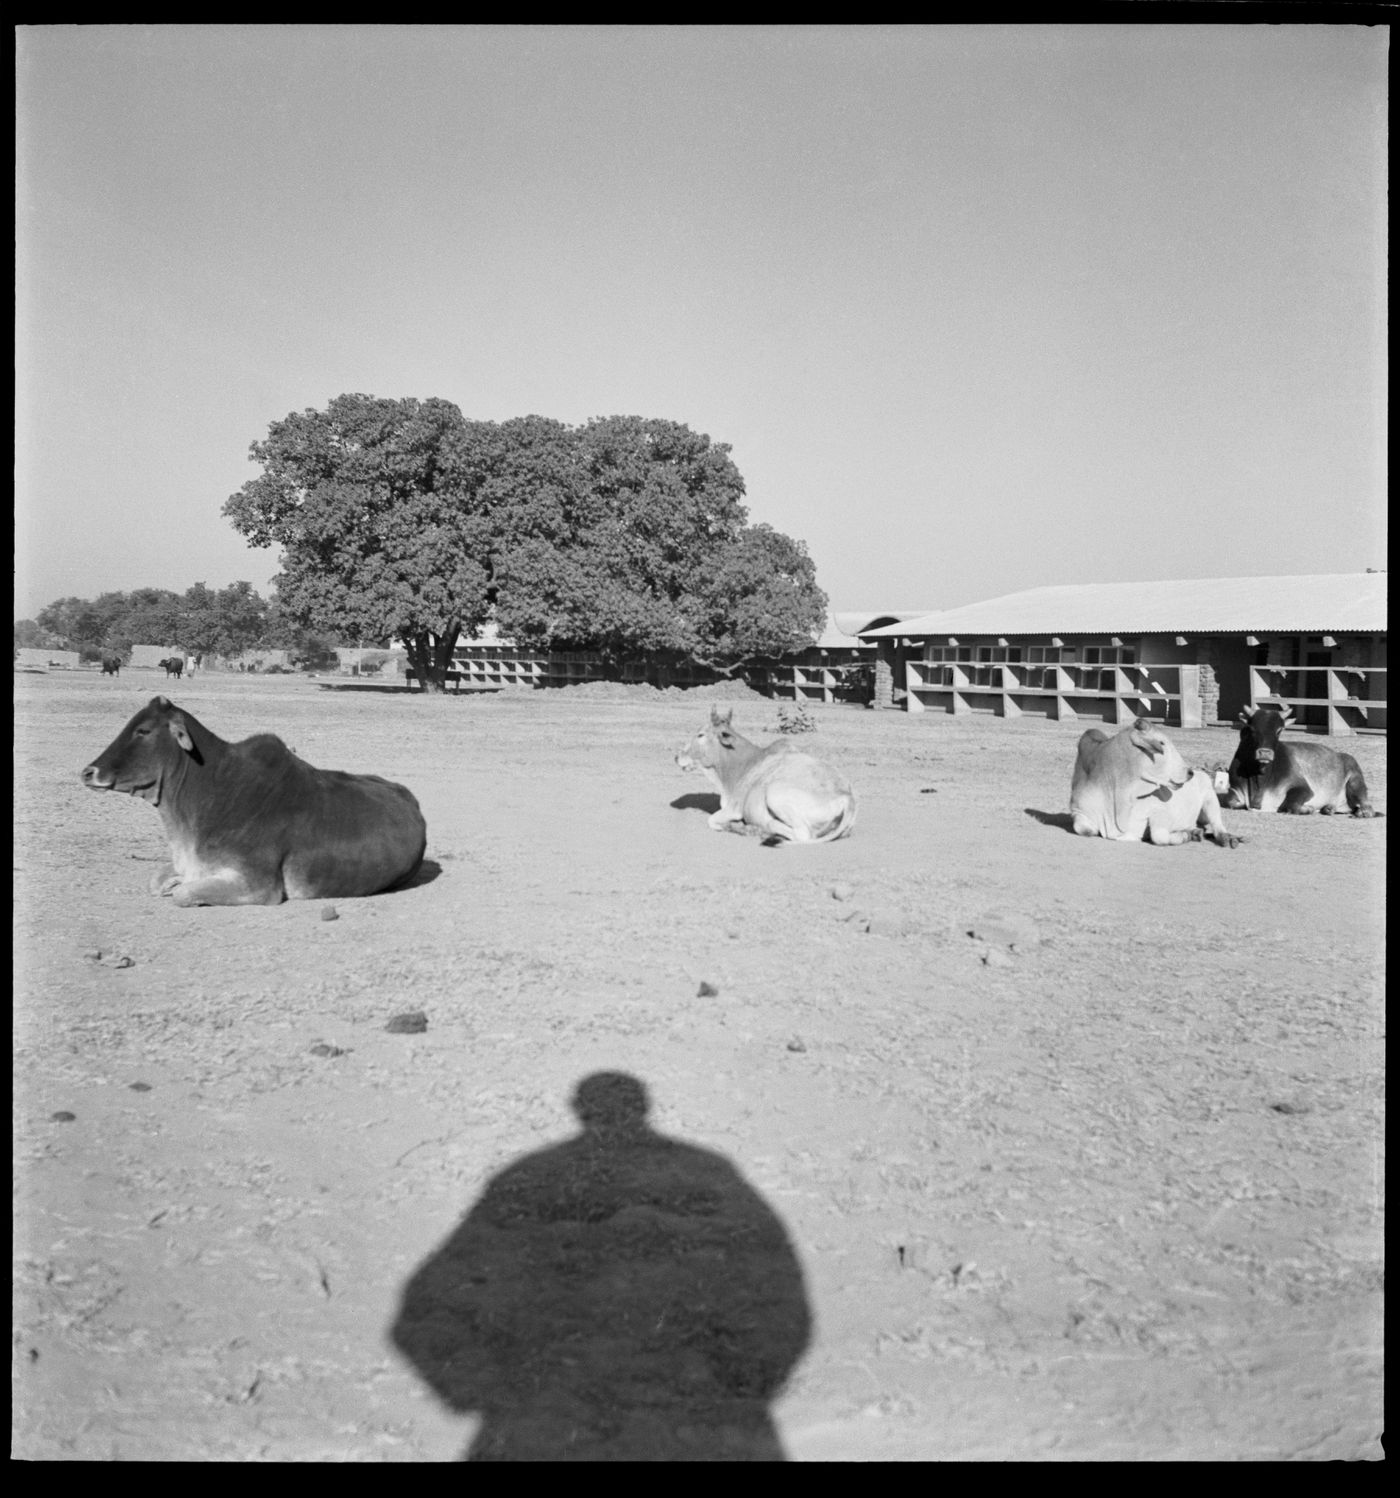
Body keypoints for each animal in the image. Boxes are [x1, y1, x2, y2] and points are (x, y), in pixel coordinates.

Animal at [676, 704, 862, 844]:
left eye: (701, 734)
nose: (677, 757)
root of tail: (847, 797)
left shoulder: (733, 809)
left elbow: (712, 821)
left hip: (774, 794)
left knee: (798, 833)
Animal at [1066, 719, 1239, 850]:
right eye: (1162, 743)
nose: (1190, 772)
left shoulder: (1160, 811)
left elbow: (1159, 836)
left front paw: (1185, 835)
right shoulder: (1078, 811)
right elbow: (1083, 829)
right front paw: (1189, 833)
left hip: (1210, 797)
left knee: (1217, 825)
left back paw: (1227, 838)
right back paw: (1196, 831)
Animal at [1227, 704, 1377, 820]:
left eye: (1279, 730)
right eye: (1252, 729)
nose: (1265, 753)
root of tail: (1341, 755)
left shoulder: (1303, 788)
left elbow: (1289, 805)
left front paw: (1308, 808)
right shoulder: (1234, 788)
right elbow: (1231, 802)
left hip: (1355, 780)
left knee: (1367, 806)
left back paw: (1362, 812)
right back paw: (1329, 808)